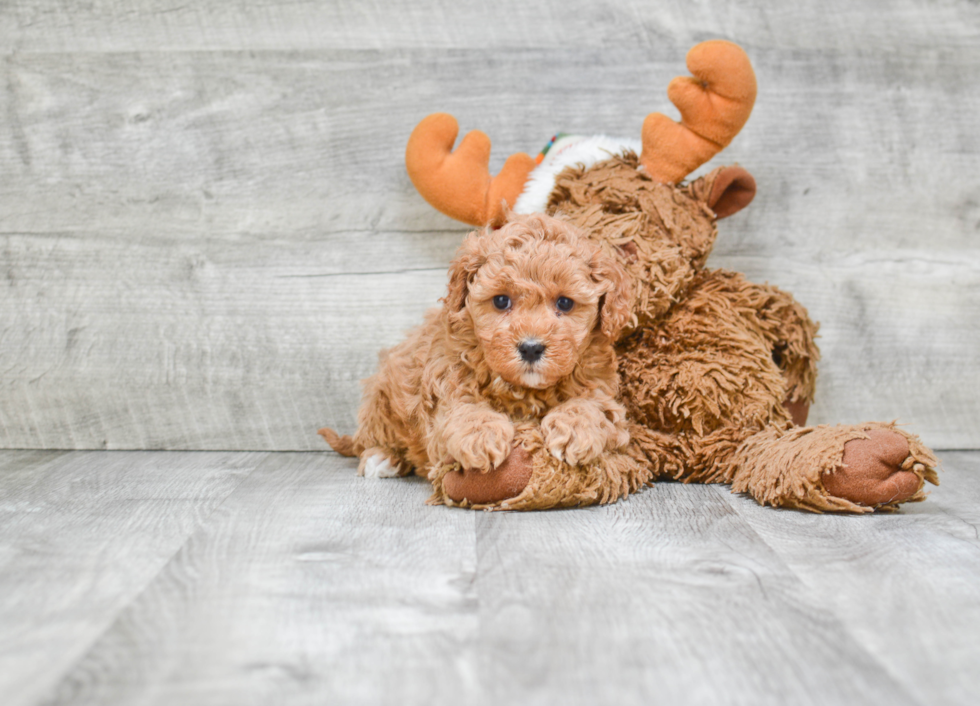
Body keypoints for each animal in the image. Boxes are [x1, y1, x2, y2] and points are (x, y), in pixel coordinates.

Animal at [318, 212, 632, 482]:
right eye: (501, 301)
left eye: (565, 303)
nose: (531, 348)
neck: (525, 391)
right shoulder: (444, 384)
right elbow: (462, 408)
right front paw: (482, 436)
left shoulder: (601, 388)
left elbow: (592, 405)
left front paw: (575, 429)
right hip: (381, 403)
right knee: (369, 440)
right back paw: (381, 458)